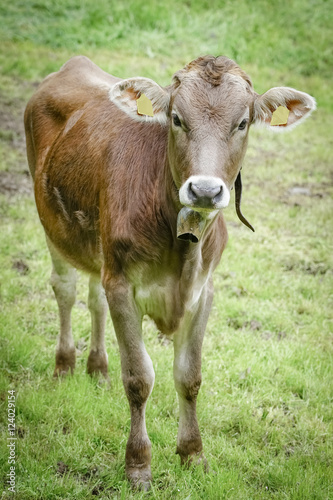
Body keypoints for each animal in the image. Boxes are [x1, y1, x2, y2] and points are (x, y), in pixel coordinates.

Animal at [23, 55, 314, 488]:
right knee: (65, 289)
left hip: (96, 245)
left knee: (93, 296)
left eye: (242, 123)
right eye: (176, 118)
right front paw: (138, 465)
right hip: (51, 222)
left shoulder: (203, 292)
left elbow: (189, 376)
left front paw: (193, 455)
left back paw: (97, 369)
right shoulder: (123, 286)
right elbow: (139, 378)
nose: (205, 190)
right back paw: (65, 366)